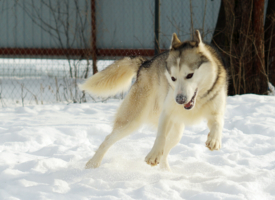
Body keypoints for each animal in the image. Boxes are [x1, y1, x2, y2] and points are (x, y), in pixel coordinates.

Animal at [80, 30, 229, 170]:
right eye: (173, 78)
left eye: (190, 75)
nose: (179, 100)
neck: (198, 101)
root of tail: (145, 63)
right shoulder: (166, 113)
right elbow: (160, 137)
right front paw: (153, 154)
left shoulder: (216, 111)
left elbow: (218, 123)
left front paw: (214, 140)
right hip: (133, 120)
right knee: (108, 139)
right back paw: (92, 164)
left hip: (176, 132)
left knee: (166, 150)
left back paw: (166, 172)